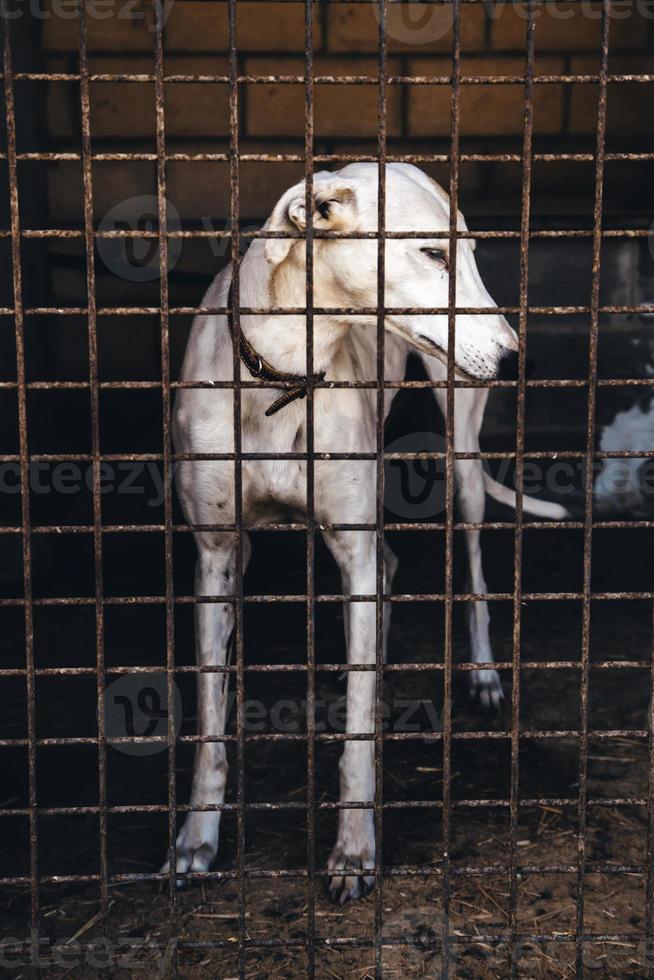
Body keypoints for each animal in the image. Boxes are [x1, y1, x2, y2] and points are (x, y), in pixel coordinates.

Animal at [165, 163, 568, 904]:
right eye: (432, 253)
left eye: (472, 254)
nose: (516, 359)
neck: (286, 372)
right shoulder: (214, 555)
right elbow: (210, 720)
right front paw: (195, 840)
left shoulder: (348, 546)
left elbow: (353, 733)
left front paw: (354, 850)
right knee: (388, 568)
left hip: (462, 451)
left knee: (469, 558)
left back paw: (482, 671)